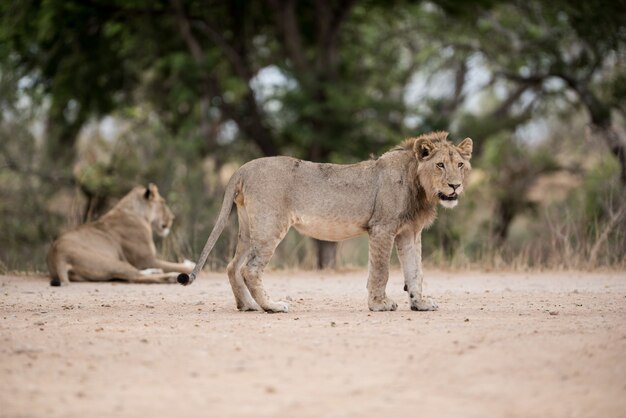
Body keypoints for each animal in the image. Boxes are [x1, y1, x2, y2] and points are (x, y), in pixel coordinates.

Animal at [47, 184, 194, 286]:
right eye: (163, 202)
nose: (173, 217)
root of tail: (57, 255)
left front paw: (188, 261)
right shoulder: (146, 260)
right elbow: (176, 265)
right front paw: (189, 265)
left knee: (132, 274)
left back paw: (155, 271)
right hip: (110, 261)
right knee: (136, 277)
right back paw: (172, 276)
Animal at [178, 132, 470, 312]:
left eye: (460, 165)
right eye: (440, 165)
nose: (455, 186)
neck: (419, 186)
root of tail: (243, 167)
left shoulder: (409, 233)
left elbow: (415, 271)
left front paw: (420, 303)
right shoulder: (382, 228)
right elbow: (381, 270)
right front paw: (379, 304)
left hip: (250, 229)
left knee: (232, 266)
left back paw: (248, 305)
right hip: (271, 226)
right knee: (250, 269)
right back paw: (272, 306)